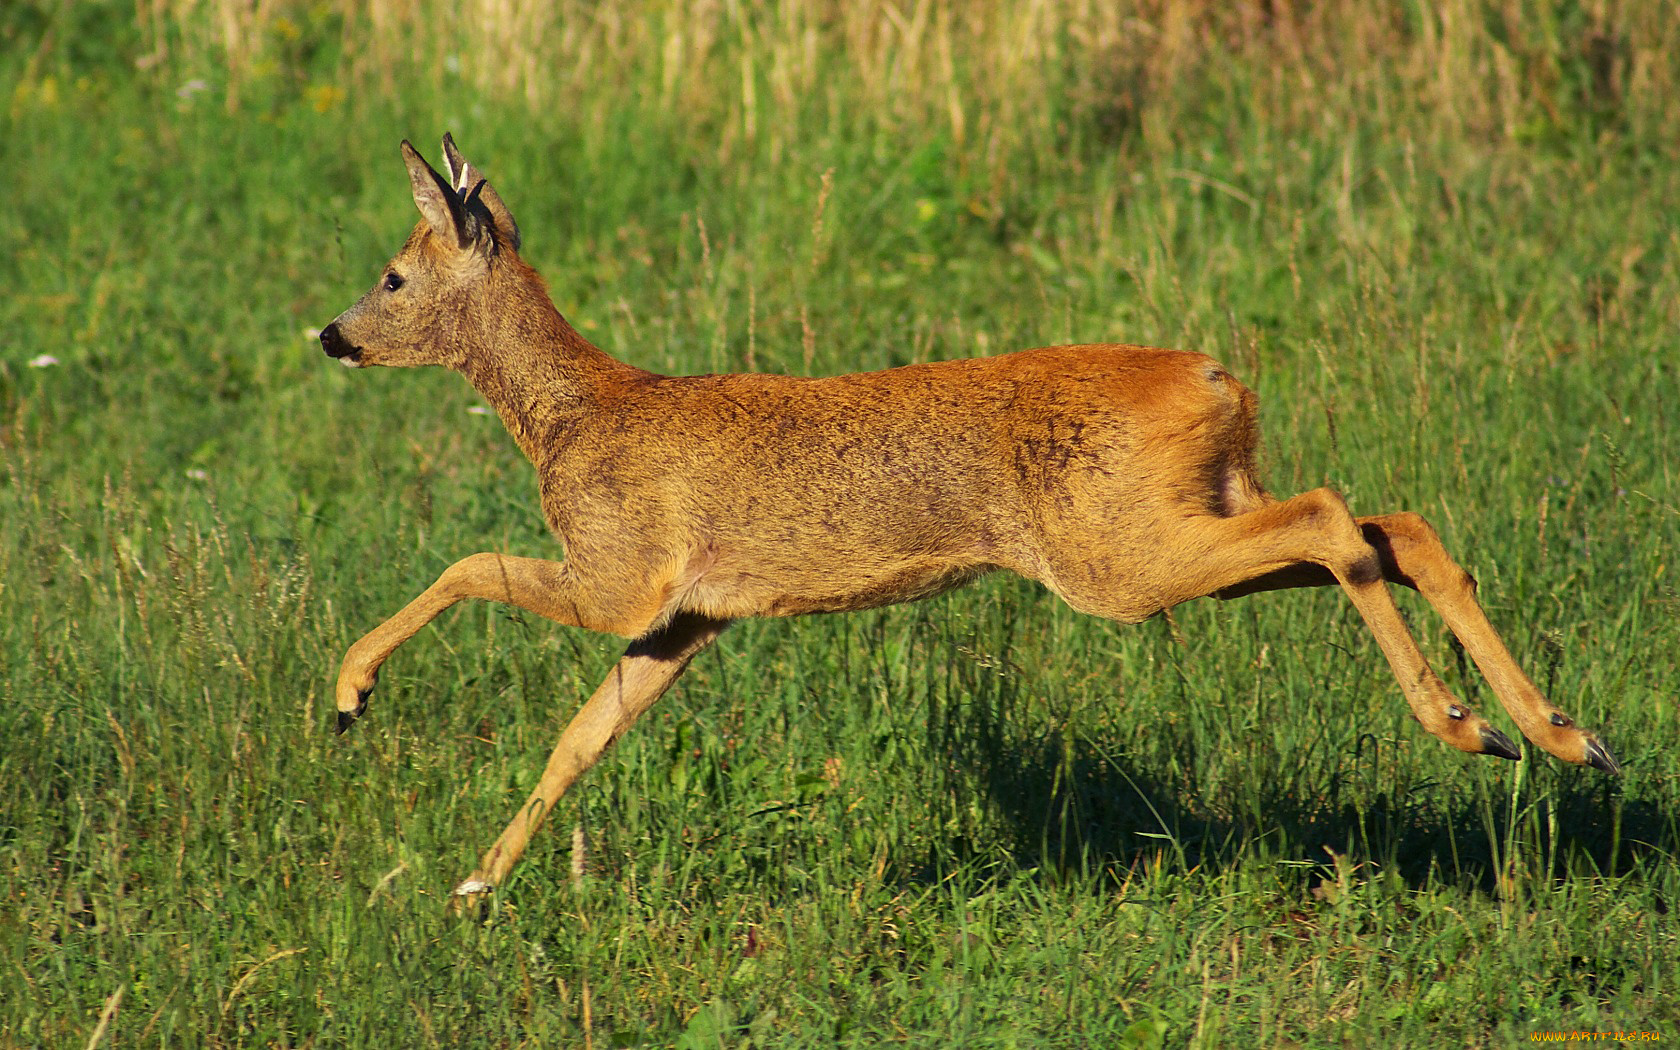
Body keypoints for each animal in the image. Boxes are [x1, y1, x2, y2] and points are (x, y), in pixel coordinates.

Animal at [315, 132, 1612, 900]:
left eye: (392, 274)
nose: (330, 334)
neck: (572, 416)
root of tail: (1218, 381)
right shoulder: (686, 617)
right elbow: (581, 738)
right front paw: (475, 889)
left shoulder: (620, 573)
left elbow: (467, 562)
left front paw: (348, 696)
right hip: (1188, 511)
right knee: (1396, 525)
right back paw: (1559, 734)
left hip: (1117, 555)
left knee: (1340, 518)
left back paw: (1470, 726)